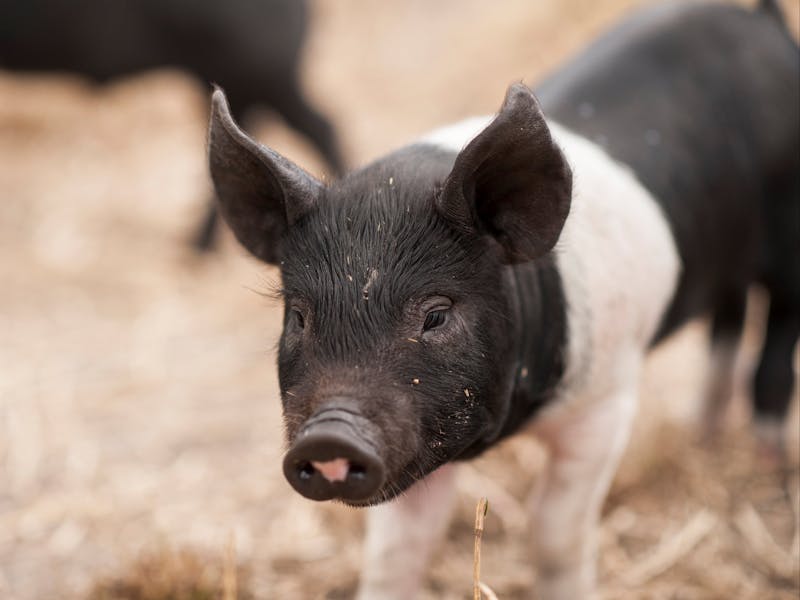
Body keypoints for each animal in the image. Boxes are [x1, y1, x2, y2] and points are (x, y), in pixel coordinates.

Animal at [205, 1, 792, 600]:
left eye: (436, 314)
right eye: (299, 317)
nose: (328, 434)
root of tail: (758, 20)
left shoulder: (605, 404)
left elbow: (554, 527)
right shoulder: (421, 443)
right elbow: (396, 552)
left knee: (774, 338)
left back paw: (769, 461)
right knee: (730, 316)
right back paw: (705, 433)